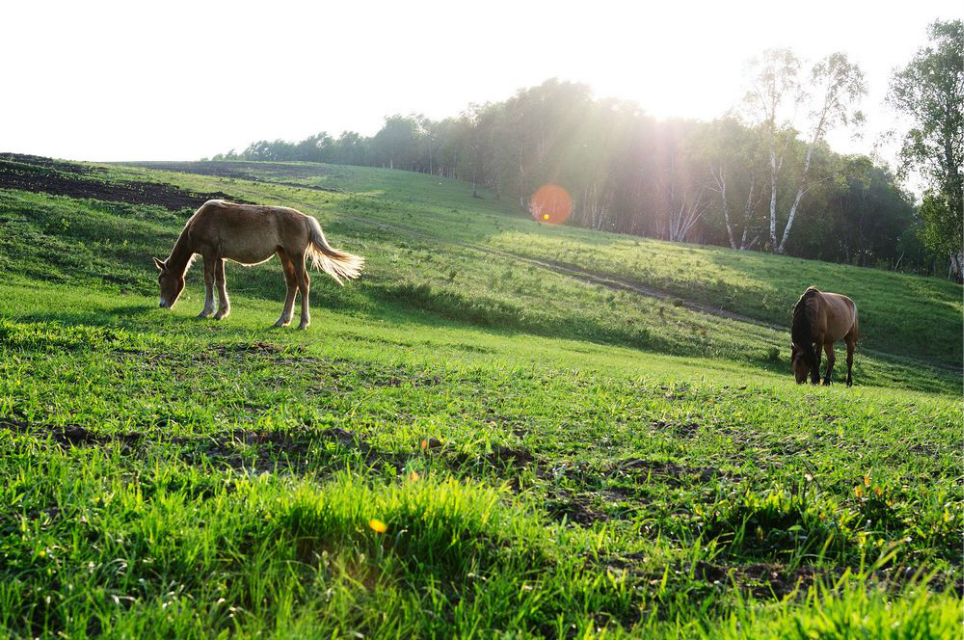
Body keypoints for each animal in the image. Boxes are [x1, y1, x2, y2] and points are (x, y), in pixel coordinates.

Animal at [154, 200, 366, 330]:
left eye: (161, 279)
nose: (162, 304)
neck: (203, 219)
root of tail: (306, 220)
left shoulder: (209, 253)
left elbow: (209, 280)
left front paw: (206, 311)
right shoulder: (219, 257)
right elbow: (221, 282)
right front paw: (221, 312)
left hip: (296, 256)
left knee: (303, 284)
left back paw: (303, 323)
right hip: (284, 255)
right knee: (292, 284)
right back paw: (282, 320)